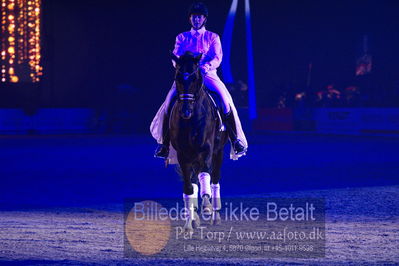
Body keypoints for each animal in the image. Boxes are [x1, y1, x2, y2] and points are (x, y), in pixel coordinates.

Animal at [170, 51, 230, 231]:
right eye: (177, 77)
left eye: (195, 77)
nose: (185, 112)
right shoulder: (183, 155)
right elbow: (189, 187)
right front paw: (189, 223)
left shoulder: (206, 149)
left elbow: (205, 173)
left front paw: (207, 206)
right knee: (194, 181)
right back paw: (194, 217)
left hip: (218, 153)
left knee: (214, 179)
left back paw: (215, 215)